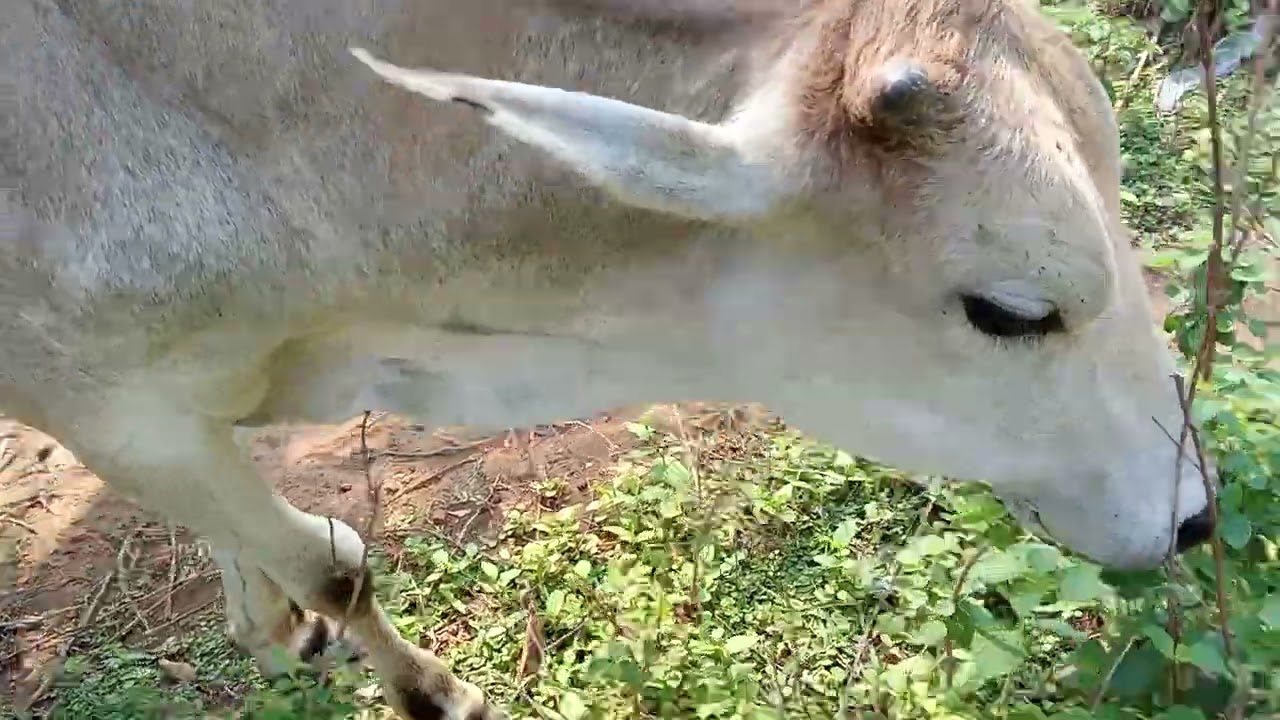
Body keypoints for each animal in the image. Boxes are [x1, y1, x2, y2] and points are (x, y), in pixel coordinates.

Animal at [3, 0, 1214, 717]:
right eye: (1011, 310)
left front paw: (268, 629)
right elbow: (335, 561)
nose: (1193, 514)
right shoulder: (107, 407)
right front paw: (436, 692)